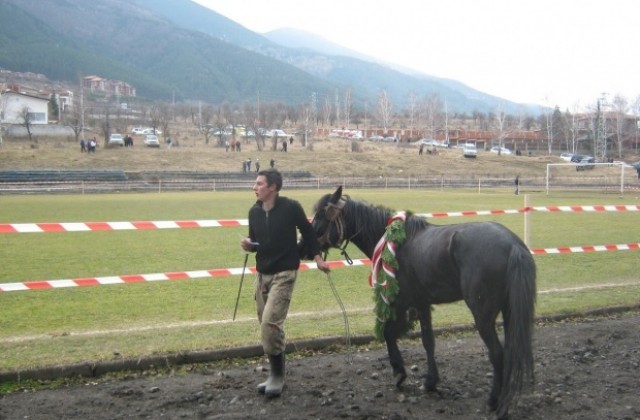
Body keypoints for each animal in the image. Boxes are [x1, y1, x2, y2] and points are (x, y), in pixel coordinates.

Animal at [308, 188, 536, 420]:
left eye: (321, 215)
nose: (306, 248)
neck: (396, 244)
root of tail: (512, 244)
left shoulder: (403, 302)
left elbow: (389, 333)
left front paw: (399, 372)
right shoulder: (423, 303)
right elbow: (428, 341)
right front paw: (431, 381)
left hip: (483, 315)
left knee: (498, 354)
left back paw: (494, 400)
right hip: (509, 311)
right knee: (510, 350)